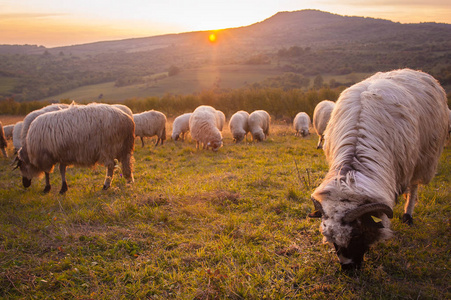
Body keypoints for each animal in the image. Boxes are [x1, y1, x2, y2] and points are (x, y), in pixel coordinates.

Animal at [308, 68, 450, 270]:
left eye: (358, 234)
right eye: (332, 239)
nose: (348, 269)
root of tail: (412, 70)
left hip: (422, 159)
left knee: (414, 187)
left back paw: (408, 215)